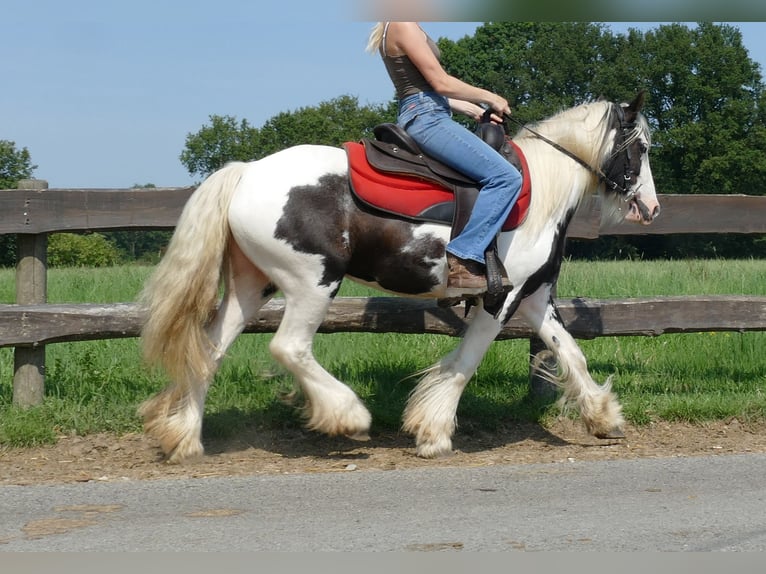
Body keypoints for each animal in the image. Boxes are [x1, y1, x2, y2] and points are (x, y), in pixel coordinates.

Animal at [136, 92, 660, 466]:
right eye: (642, 147)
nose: (651, 208)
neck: (542, 192)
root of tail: (245, 173)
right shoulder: (502, 297)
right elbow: (466, 361)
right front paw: (433, 432)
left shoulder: (534, 298)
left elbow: (569, 351)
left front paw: (604, 417)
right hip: (312, 283)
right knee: (289, 347)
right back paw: (348, 416)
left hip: (251, 286)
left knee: (208, 351)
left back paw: (184, 440)